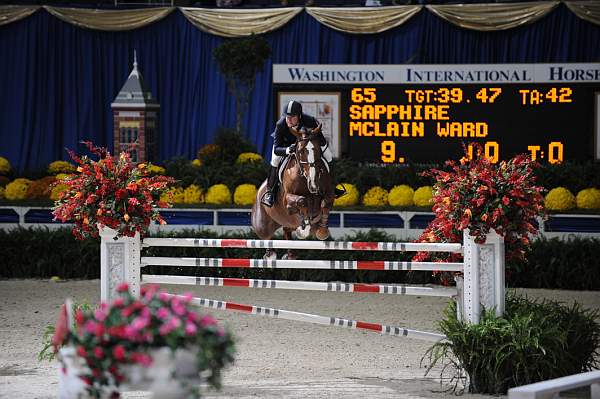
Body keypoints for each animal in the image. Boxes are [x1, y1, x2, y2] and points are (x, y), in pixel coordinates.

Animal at [251, 124, 336, 260]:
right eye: (300, 151)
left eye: (318, 149)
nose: (313, 183)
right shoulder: (287, 198)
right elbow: (302, 201)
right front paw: (303, 228)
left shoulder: (329, 193)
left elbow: (325, 203)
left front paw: (322, 231)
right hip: (261, 224)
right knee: (266, 236)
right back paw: (270, 254)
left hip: (286, 222)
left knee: (287, 230)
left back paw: (290, 254)